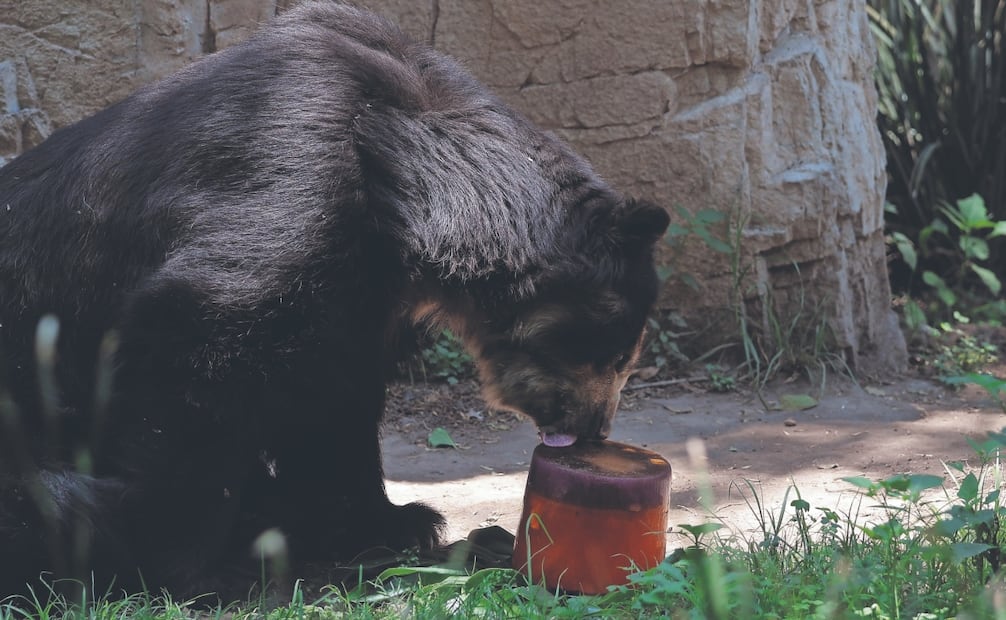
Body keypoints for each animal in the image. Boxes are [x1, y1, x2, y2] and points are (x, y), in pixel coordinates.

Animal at [0, 0, 669, 600]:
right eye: (616, 358)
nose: (593, 431)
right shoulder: (294, 168)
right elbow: (197, 331)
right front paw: (195, 571)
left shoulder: (359, 286)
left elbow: (334, 399)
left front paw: (396, 523)